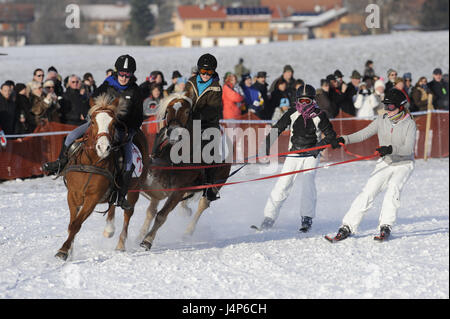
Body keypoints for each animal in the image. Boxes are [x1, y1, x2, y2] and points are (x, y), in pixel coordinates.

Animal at [55, 94, 149, 260]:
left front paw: (64, 250)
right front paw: (70, 250)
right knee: (112, 204)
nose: (103, 147)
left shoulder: (92, 198)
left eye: (113, 123)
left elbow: (76, 224)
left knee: (128, 213)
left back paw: (120, 244)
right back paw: (109, 229)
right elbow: (72, 223)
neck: (91, 162)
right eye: (92, 121)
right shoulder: (73, 194)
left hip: (135, 189)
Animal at [103, 92, 232, 252]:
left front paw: (148, 240)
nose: (173, 132)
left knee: (203, 204)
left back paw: (187, 232)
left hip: (217, 182)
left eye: (187, 111)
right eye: (168, 111)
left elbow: (162, 216)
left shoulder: (178, 191)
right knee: (151, 211)